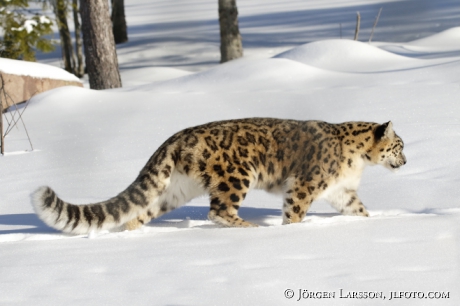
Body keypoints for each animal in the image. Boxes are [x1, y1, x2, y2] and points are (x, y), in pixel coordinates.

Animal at [31, 117, 406, 234]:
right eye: (399, 146)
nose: (405, 162)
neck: (358, 161)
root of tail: (175, 138)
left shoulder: (342, 191)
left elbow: (358, 209)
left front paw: (371, 222)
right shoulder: (306, 185)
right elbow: (295, 211)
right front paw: (291, 230)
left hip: (173, 190)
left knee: (138, 212)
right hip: (237, 175)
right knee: (219, 210)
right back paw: (250, 227)